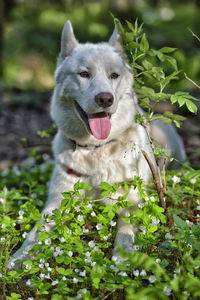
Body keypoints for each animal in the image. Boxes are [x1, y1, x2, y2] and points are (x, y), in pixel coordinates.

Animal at [7, 19, 186, 268]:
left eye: (114, 75)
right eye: (83, 74)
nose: (105, 99)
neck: (95, 149)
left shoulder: (134, 198)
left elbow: (126, 225)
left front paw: (125, 254)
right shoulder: (57, 200)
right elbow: (37, 232)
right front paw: (21, 257)